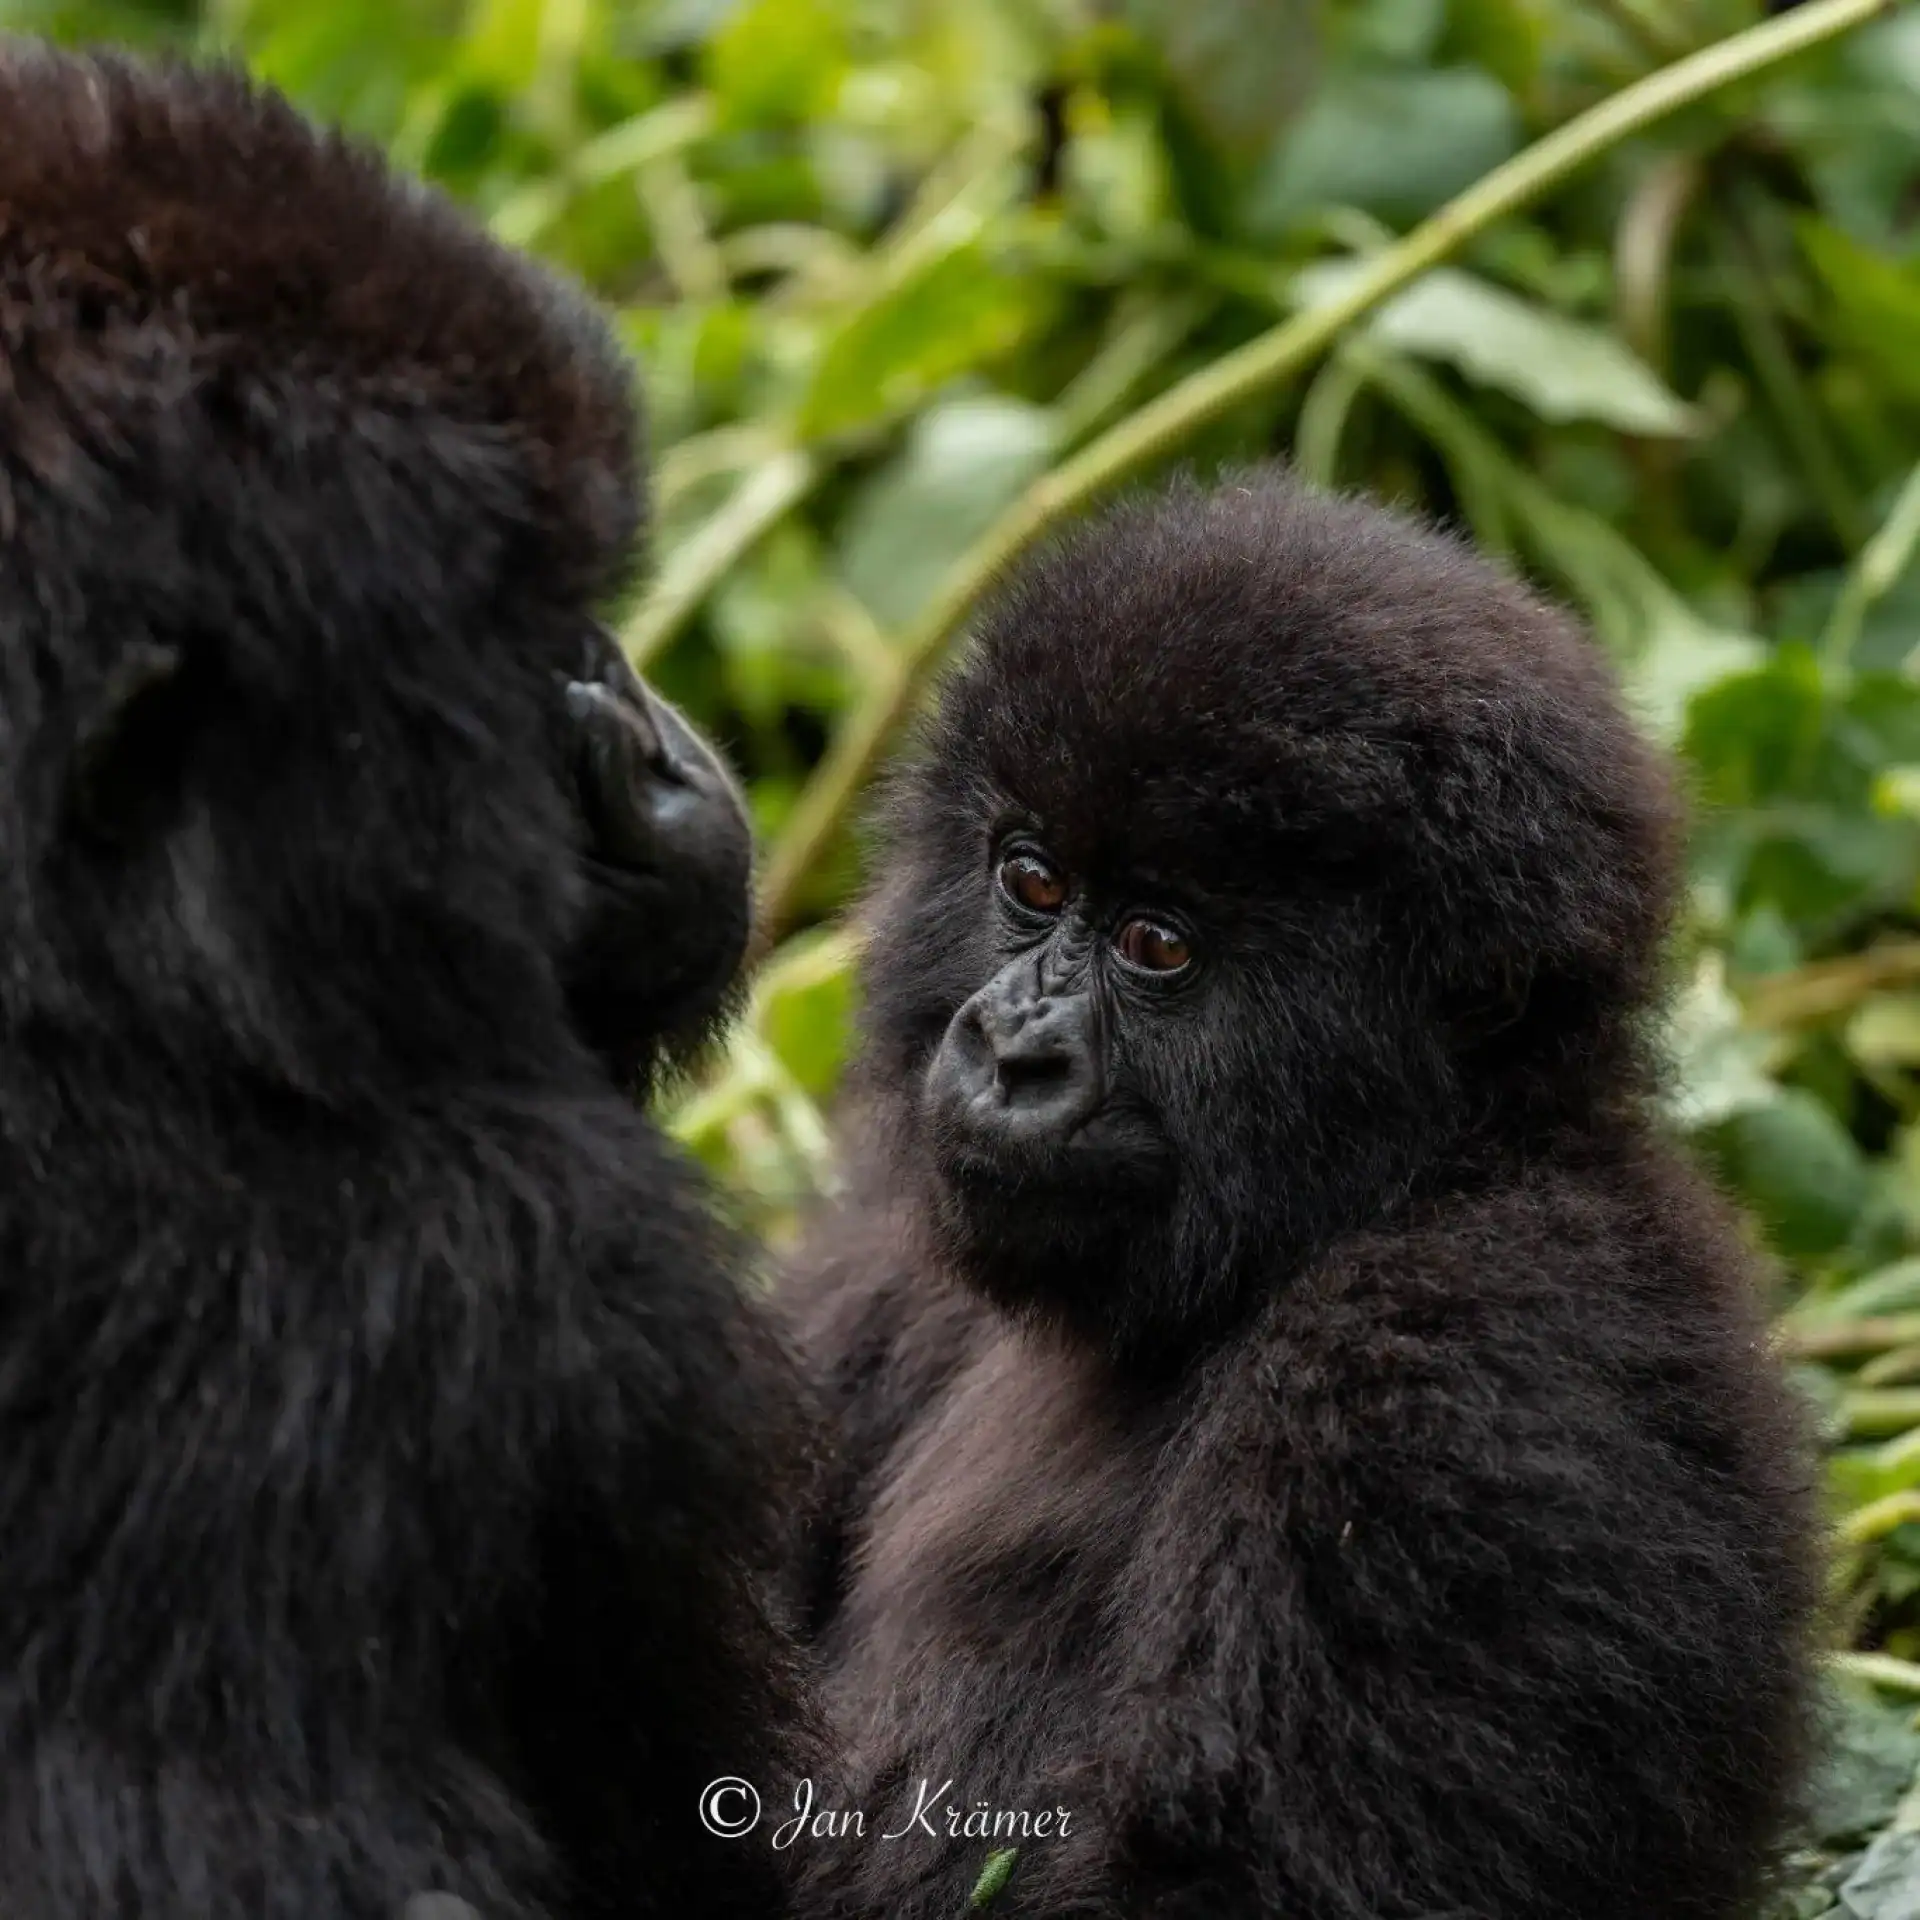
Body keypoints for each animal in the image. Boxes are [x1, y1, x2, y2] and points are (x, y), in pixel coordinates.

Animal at [779, 471, 1821, 1920]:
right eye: (1030, 881)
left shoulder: (1445, 1366)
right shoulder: (895, 1218)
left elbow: (1236, 1878)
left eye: (1158, 946)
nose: (1007, 1049)